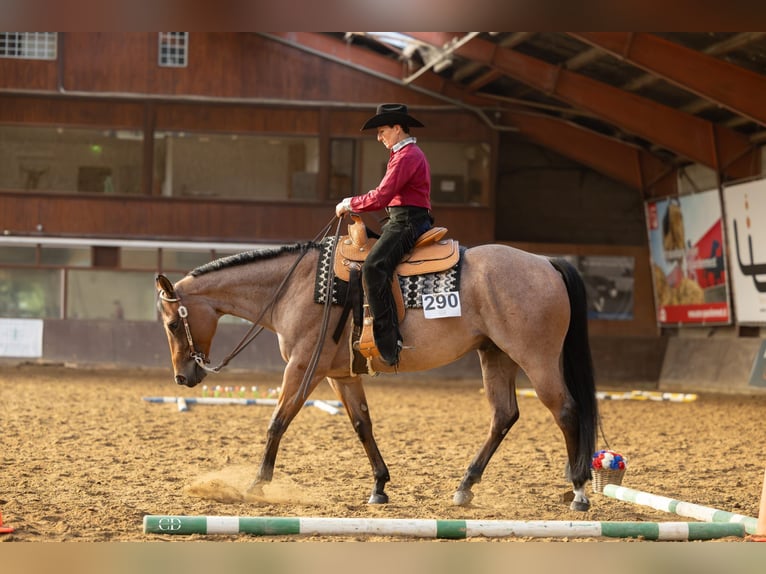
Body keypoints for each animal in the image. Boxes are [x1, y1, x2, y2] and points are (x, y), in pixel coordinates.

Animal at [154, 233, 599, 511]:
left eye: (173, 324)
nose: (182, 378)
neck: (295, 287)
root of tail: (545, 262)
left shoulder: (302, 367)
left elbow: (278, 421)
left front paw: (257, 483)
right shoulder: (341, 375)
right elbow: (362, 425)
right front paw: (379, 486)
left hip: (536, 359)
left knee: (566, 411)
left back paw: (578, 489)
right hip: (496, 356)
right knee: (504, 415)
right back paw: (464, 487)